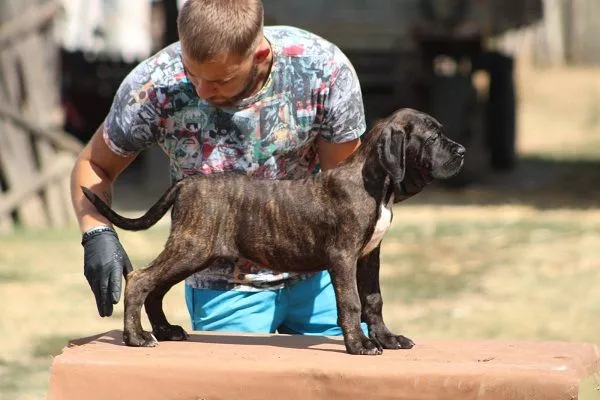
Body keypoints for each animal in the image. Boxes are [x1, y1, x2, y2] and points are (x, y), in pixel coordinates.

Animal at [82, 108, 466, 354]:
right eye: (434, 137)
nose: (461, 150)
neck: (374, 183)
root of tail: (187, 184)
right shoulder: (343, 257)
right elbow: (352, 303)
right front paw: (359, 345)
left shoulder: (369, 257)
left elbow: (374, 300)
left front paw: (387, 339)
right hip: (191, 246)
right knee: (140, 280)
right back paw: (136, 338)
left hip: (196, 252)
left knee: (156, 289)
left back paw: (164, 332)